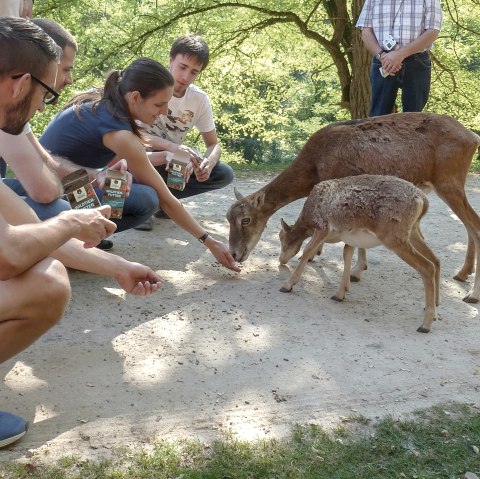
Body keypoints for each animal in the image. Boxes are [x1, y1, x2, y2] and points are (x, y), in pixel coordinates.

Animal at [228, 111, 480, 302]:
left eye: (246, 219)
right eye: (228, 218)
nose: (235, 253)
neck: (315, 166)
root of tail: (473, 137)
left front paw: (348, 269)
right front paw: (351, 267)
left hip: (449, 182)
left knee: (474, 226)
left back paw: (472, 294)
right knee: (470, 225)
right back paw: (462, 274)